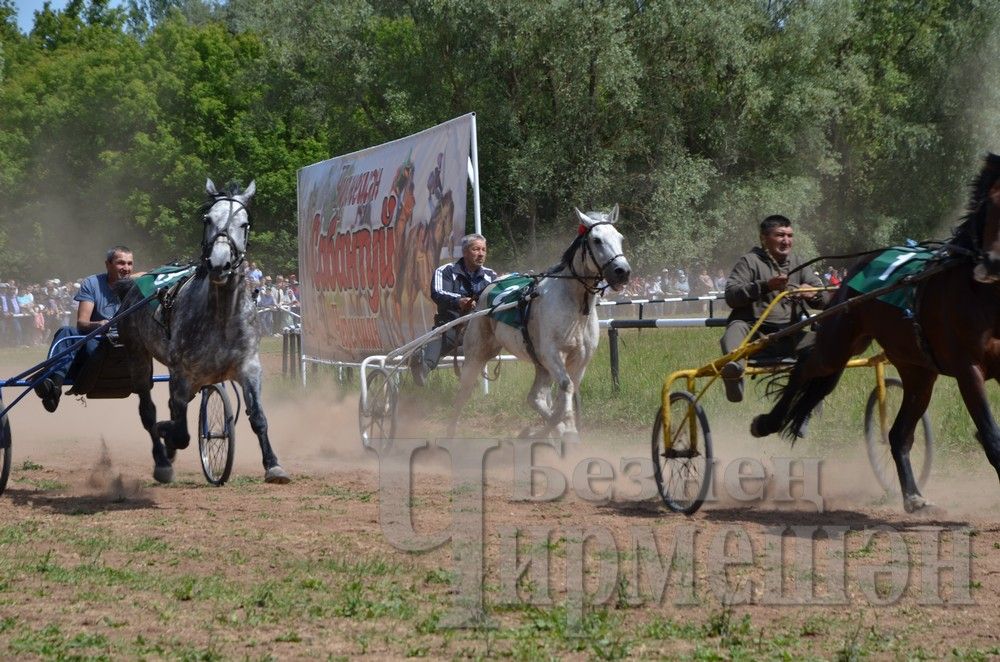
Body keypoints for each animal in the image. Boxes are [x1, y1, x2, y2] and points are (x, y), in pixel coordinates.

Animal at [117, 179, 292, 486]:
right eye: (207, 219)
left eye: (244, 224)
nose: (219, 264)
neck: (220, 316)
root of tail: (135, 282)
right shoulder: (183, 372)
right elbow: (180, 430)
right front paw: (167, 435)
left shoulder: (248, 366)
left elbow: (258, 416)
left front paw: (273, 465)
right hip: (137, 354)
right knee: (148, 411)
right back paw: (162, 459)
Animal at [450, 206, 628, 446]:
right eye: (597, 240)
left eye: (620, 237)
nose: (622, 271)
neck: (575, 305)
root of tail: (486, 290)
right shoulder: (552, 354)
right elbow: (566, 390)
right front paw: (563, 430)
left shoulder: (580, 359)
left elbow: (567, 393)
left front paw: (560, 430)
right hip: (477, 354)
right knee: (463, 392)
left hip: (540, 364)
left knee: (534, 397)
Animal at [752, 154, 1000, 512]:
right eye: (991, 203)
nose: (993, 263)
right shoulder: (969, 371)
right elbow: (991, 436)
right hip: (840, 341)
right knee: (806, 366)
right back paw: (766, 422)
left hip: (918, 370)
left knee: (898, 434)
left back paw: (913, 495)